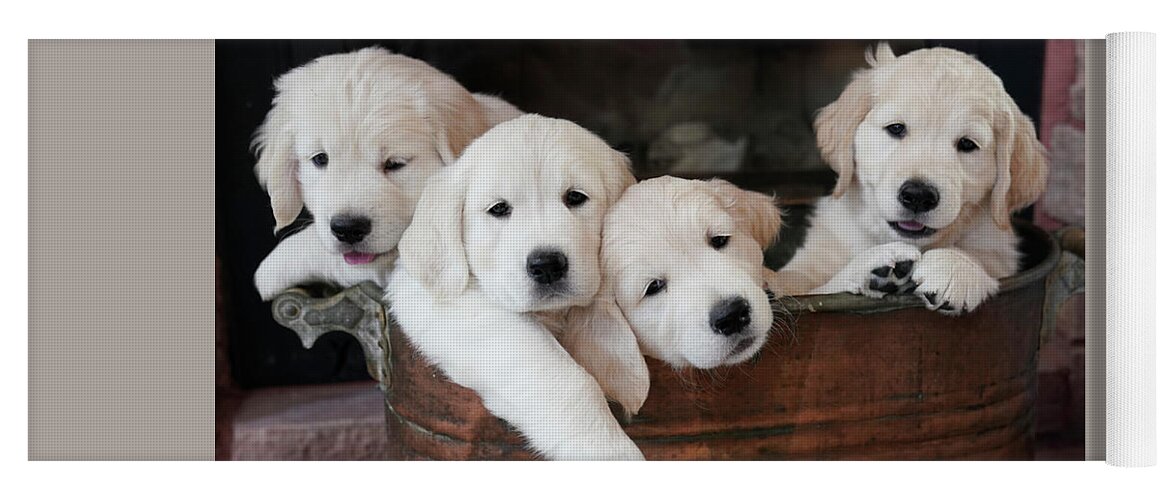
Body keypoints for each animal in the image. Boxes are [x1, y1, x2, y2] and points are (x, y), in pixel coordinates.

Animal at [386, 114, 641, 461]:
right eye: (498, 209)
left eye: (575, 197)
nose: (547, 265)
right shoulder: (448, 305)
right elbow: (566, 376)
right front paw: (610, 449)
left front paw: (624, 375)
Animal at [772, 43, 1049, 316]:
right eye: (896, 128)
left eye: (967, 144)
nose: (918, 196)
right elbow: (808, 290)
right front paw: (870, 264)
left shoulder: (999, 248)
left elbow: (982, 255)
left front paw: (955, 267)